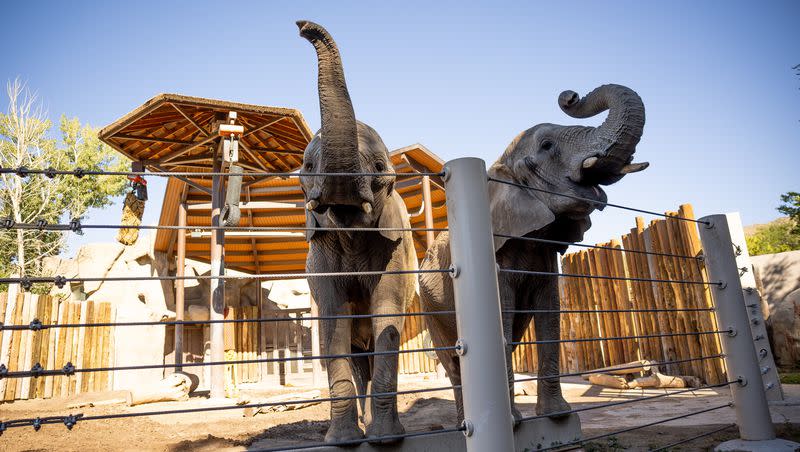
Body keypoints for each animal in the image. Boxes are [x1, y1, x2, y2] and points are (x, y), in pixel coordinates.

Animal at [296, 20, 416, 442]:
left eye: (380, 169)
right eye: (308, 167)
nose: (302, 26)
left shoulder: (394, 250)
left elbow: (387, 317)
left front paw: (387, 439)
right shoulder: (321, 258)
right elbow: (332, 323)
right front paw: (343, 441)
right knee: (355, 353)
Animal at [422, 84, 648, 424]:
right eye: (547, 145)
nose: (570, 96)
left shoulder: (545, 254)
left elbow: (550, 312)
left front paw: (559, 417)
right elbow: (501, 317)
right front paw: (514, 423)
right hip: (429, 307)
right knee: (452, 361)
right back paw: (464, 425)